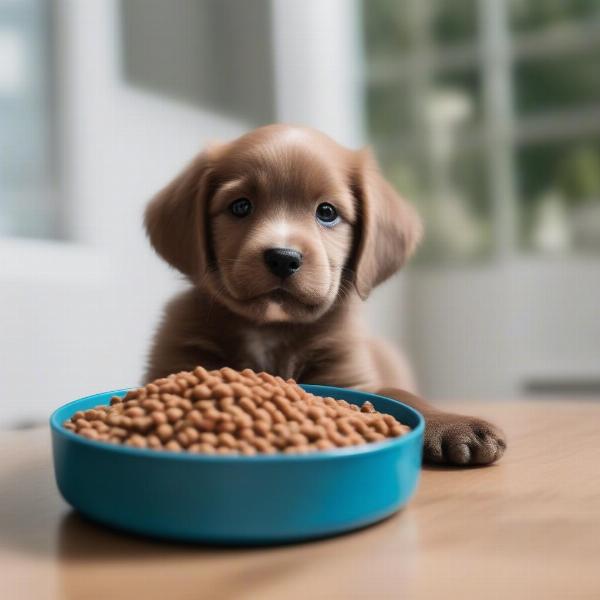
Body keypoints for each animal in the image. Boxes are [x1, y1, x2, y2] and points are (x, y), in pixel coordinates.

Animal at [144, 124, 506, 466]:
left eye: (327, 212)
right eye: (241, 206)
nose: (283, 257)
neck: (269, 328)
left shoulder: (349, 377)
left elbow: (398, 393)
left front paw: (452, 423)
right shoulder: (174, 362)